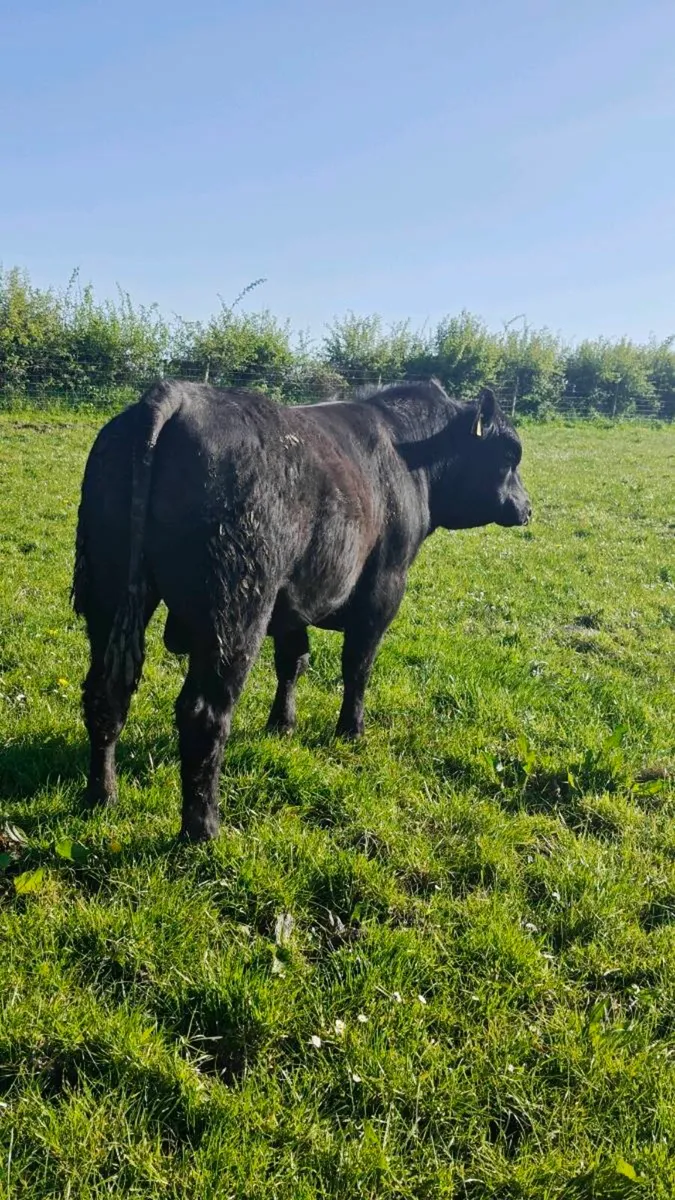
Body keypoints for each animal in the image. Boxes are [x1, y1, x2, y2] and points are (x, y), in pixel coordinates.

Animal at [72, 378, 531, 841]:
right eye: (509, 454)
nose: (527, 507)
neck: (406, 454)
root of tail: (177, 393)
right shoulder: (383, 587)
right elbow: (358, 666)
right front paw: (351, 730)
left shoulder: (293, 599)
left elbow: (293, 661)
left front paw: (282, 724)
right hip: (235, 611)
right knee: (204, 713)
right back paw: (203, 828)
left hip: (108, 593)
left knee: (104, 694)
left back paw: (101, 795)